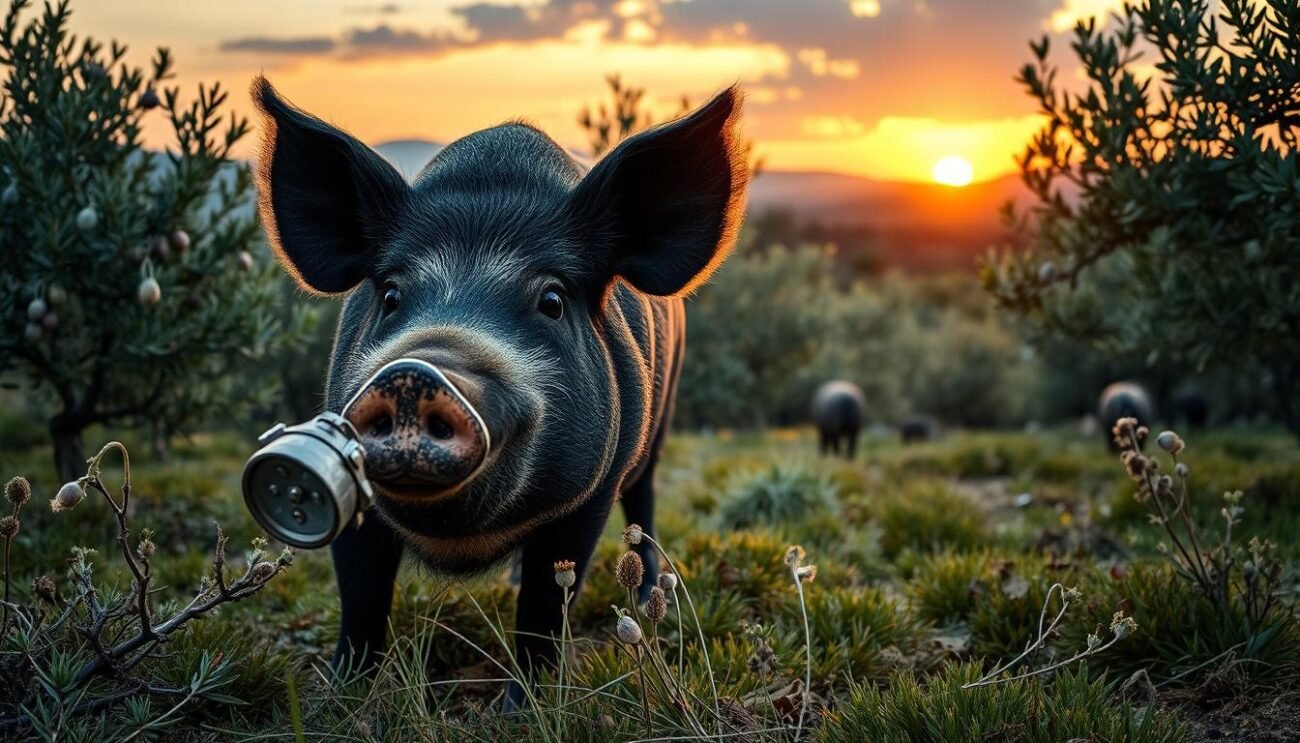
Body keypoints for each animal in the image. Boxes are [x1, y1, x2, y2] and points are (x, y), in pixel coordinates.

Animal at [250, 78, 754, 706]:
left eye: (552, 300)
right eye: (391, 295)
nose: (416, 372)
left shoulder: (590, 494)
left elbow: (543, 605)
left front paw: (521, 706)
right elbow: (361, 595)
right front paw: (341, 694)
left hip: (657, 432)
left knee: (645, 501)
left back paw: (645, 600)